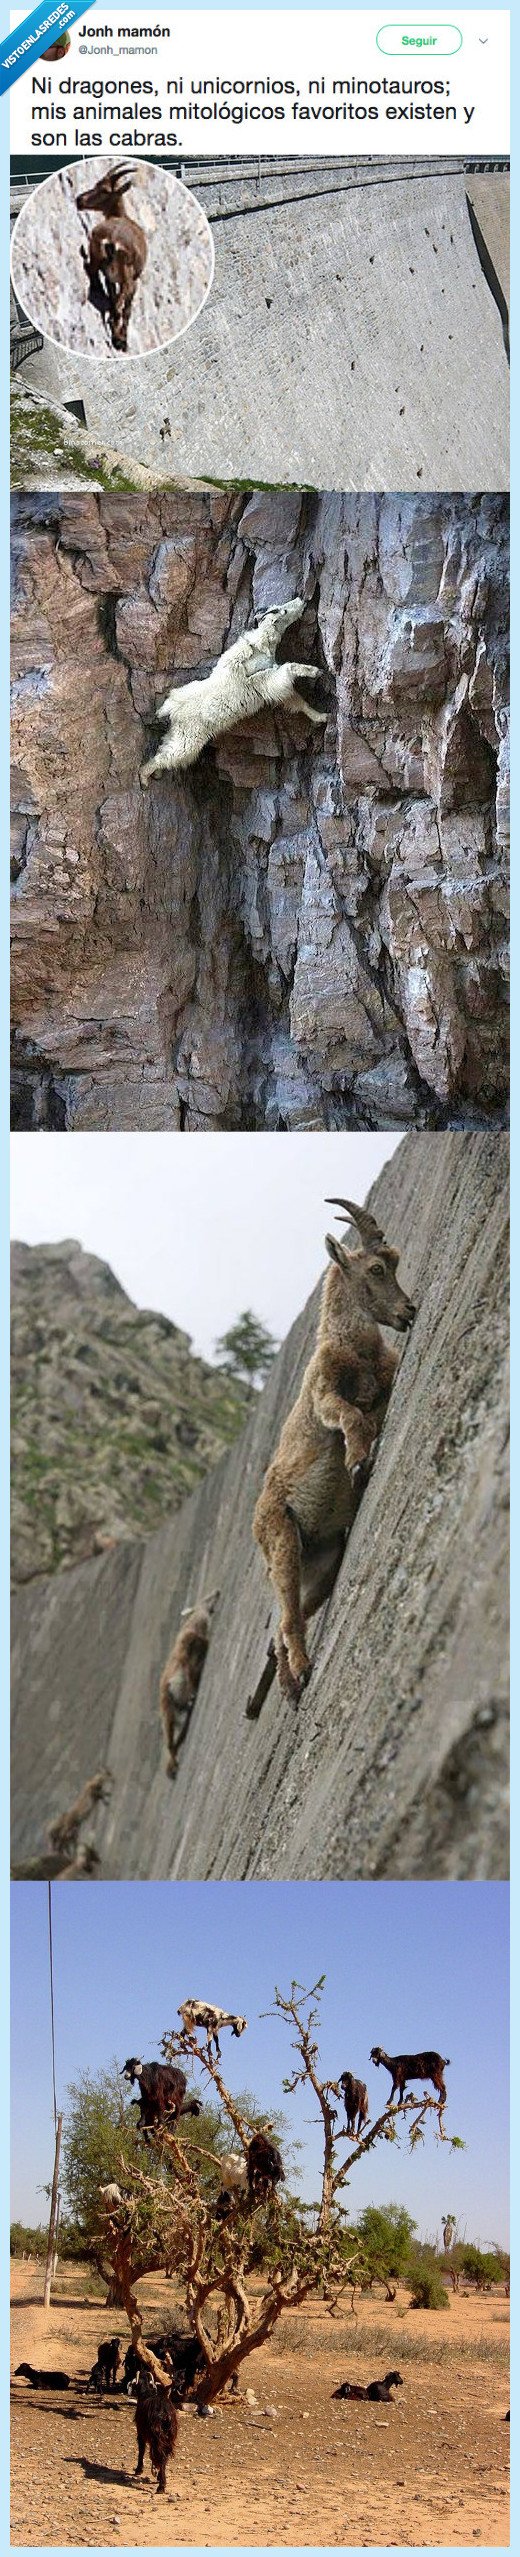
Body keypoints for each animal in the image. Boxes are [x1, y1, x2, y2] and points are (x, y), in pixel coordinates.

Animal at [76, 163, 147, 352]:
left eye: (104, 190)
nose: (79, 200)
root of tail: (112, 240)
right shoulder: (132, 281)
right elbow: (126, 309)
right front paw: (122, 339)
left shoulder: (113, 277)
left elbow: (118, 303)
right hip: (125, 277)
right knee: (118, 304)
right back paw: (118, 338)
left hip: (107, 263)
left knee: (93, 272)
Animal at [140, 599, 327, 784]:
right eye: (283, 611)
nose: (301, 601)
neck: (261, 647)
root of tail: (172, 710)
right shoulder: (266, 680)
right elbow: (289, 669)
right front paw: (315, 671)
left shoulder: (272, 685)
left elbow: (295, 700)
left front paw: (322, 716)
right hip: (189, 737)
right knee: (170, 755)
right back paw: (144, 777)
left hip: (178, 732)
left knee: (165, 747)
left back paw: (156, 774)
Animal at [253, 1196, 415, 1699]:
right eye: (378, 1268)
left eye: (394, 1262)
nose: (409, 1311)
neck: (352, 1349)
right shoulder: (323, 1396)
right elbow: (350, 1417)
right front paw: (359, 1461)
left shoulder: (384, 1381)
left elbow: (371, 1409)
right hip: (283, 1543)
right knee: (287, 1619)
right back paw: (302, 1673)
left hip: (324, 1561)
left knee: (284, 1625)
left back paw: (287, 1682)